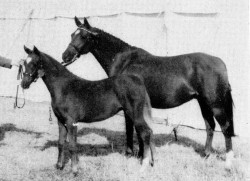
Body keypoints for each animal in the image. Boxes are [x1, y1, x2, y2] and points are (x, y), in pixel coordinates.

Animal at [21, 46, 154, 175]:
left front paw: (74, 170)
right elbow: (61, 143)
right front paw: (59, 166)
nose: (24, 84)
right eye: (24, 63)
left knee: (146, 133)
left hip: (135, 114)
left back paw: (144, 166)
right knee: (149, 132)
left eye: (34, 63)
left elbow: (72, 146)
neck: (63, 87)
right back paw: (152, 162)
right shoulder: (61, 121)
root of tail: (138, 80)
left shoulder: (71, 122)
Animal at [62, 17, 234, 168]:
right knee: (210, 126)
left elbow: (131, 130)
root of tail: (221, 63)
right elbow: (139, 132)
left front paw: (132, 154)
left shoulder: (129, 107)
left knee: (225, 127)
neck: (125, 61)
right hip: (203, 102)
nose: (65, 56)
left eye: (84, 36)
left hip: (215, 104)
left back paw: (228, 161)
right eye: (71, 34)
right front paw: (141, 155)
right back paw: (206, 155)